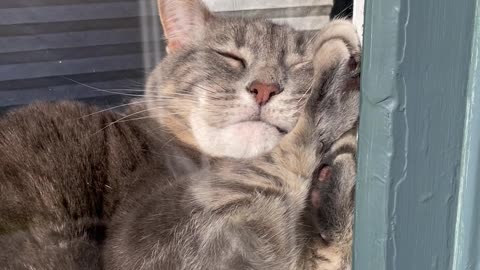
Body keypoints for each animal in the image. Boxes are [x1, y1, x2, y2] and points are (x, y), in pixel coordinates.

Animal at [0, 0, 360, 268]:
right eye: (230, 57)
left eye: (298, 64)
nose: (264, 88)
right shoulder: (151, 242)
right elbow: (277, 155)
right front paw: (335, 60)